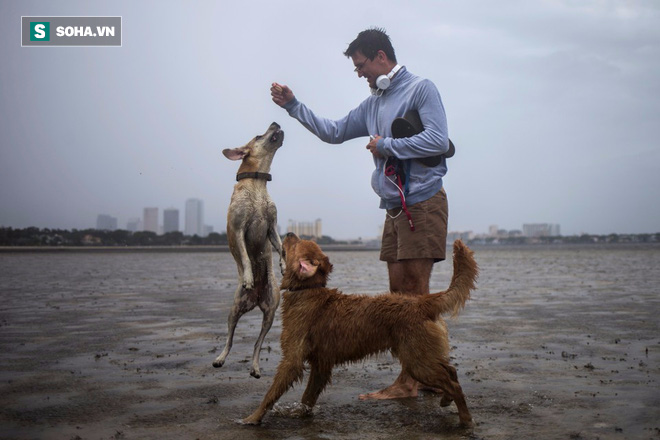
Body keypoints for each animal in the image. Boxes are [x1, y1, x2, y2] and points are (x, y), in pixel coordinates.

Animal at [211, 123, 284, 378]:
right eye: (258, 135)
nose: (275, 123)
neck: (258, 184)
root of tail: (254, 301)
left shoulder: (271, 226)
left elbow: (281, 246)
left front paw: (283, 264)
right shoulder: (239, 229)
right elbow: (244, 255)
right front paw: (250, 276)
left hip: (271, 311)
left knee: (257, 343)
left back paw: (255, 367)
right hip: (234, 309)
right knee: (230, 338)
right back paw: (220, 359)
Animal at [240, 234, 476, 426]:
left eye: (296, 242)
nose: (289, 232)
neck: (307, 289)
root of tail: (421, 302)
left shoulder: (292, 359)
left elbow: (271, 394)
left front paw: (252, 418)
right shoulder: (321, 364)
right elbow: (308, 396)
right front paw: (301, 413)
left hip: (417, 362)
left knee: (453, 383)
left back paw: (465, 419)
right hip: (423, 355)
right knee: (451, 371)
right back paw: (446, 399)